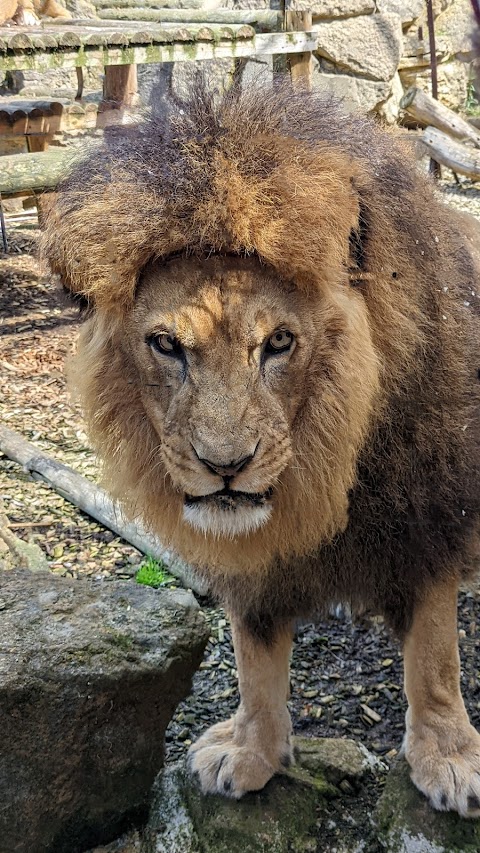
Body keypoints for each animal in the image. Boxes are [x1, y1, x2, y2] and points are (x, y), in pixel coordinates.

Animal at [41, 83, 480, 816]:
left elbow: (433, 653)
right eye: (166, 344)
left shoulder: (427, 511)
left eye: (278, 343)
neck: (329, 464)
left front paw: (449, 755)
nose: (226, 467)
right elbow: (254, 653)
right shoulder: (250, 560)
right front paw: (252, 750)